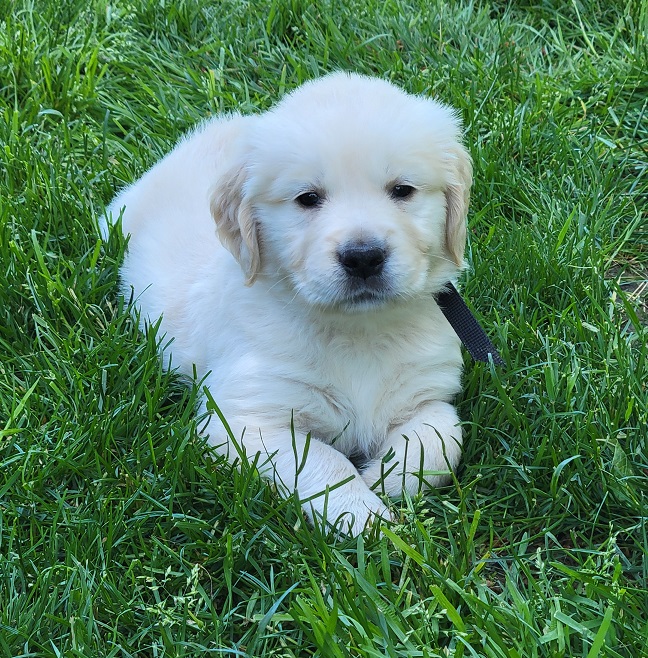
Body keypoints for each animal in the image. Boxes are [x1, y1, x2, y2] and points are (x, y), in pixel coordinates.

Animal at [104, 72, 474, 532]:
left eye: (402, 190)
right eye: (307, 198)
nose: (363, 257)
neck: (358, 331)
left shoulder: (427, 392)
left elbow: (443, 439)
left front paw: (386, 478)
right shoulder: (246, 421)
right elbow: (324, 464)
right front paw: (365, 518)